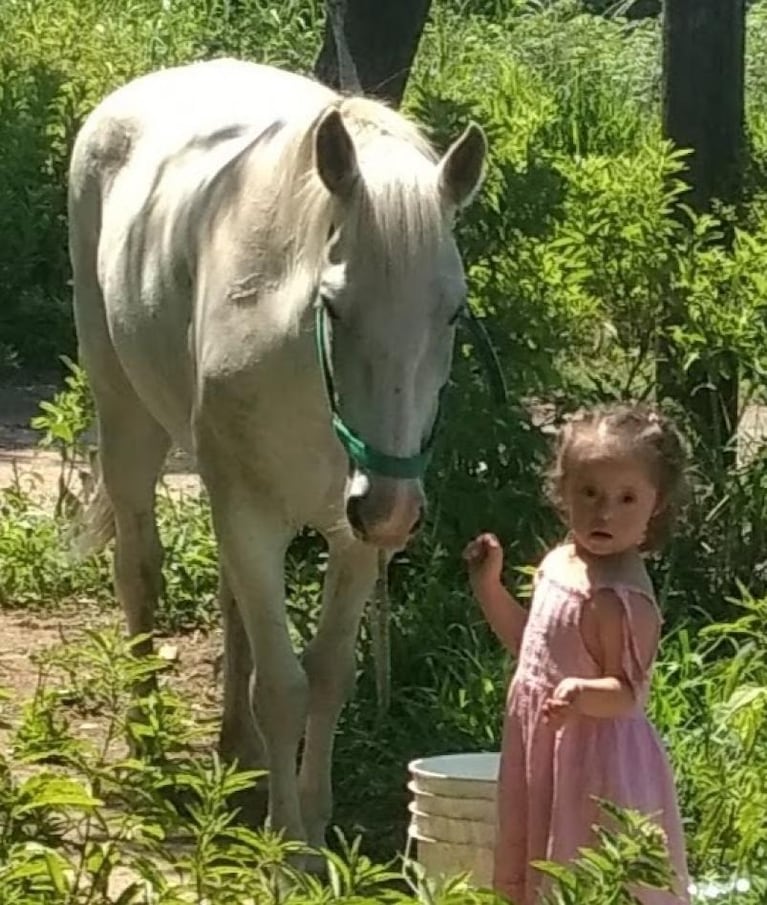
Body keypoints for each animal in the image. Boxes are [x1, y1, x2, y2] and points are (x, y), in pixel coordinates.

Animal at [67, 60, 486, 844]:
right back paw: (148, 739)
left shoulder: (353, 540)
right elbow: (283, 686)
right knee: (139, 569)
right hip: (128, 419)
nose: (390, 505)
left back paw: (241, 753)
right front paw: (287, 845)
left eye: (452, 312)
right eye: (333, 306)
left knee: (233, 605)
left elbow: (326, 677)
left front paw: (315, 828)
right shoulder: (254, 517)